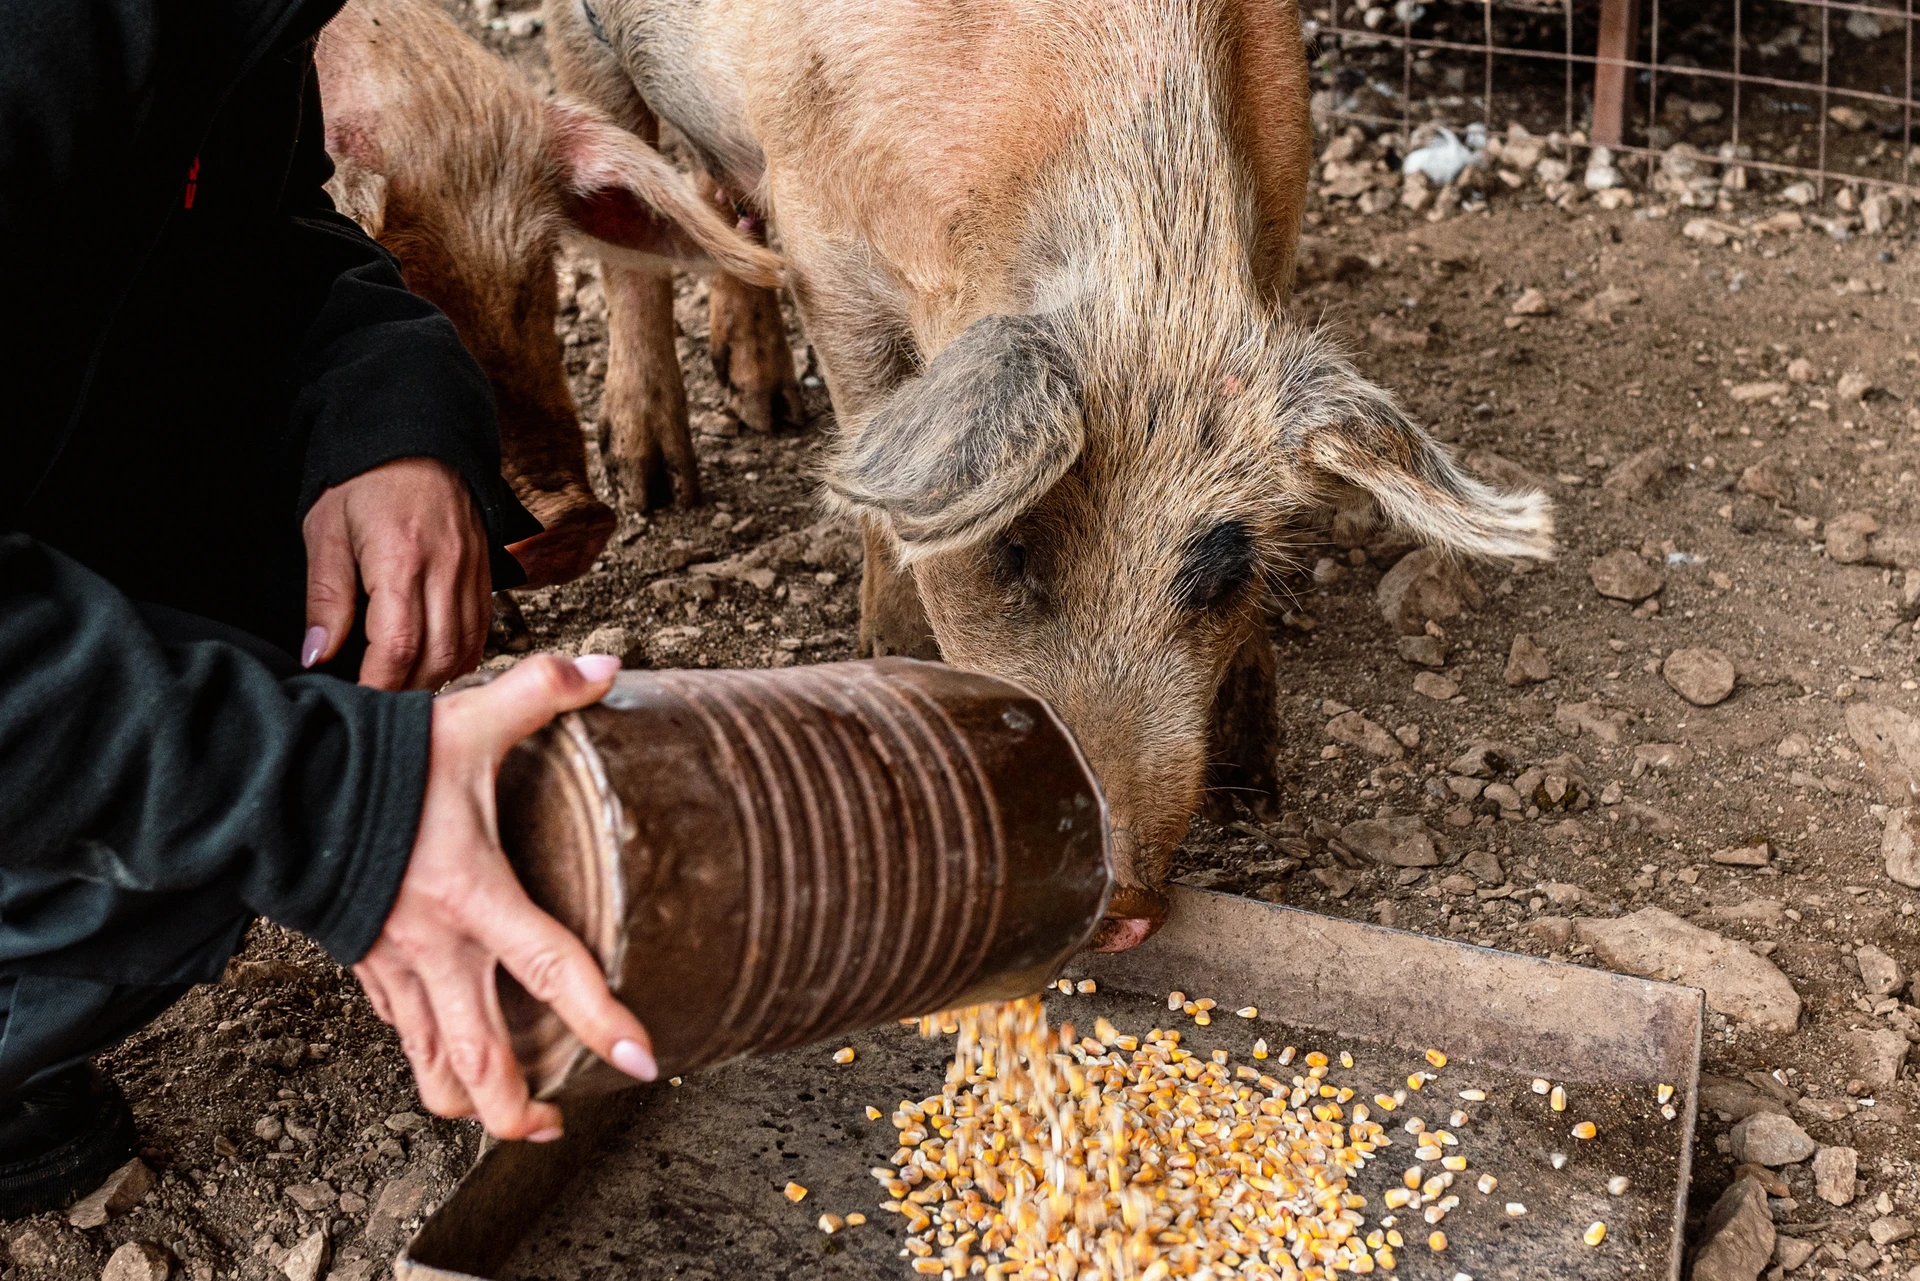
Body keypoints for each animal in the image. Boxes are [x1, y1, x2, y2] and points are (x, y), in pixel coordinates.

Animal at [547, 0, 1553, 947]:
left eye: (1221, 574)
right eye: (1015, 553)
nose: (1125, 909)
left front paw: (1253, 790)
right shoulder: (825, 249)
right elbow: (872, 452)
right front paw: (892, 666)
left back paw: (762, 401)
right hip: (589, 46)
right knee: (633, 225)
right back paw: (654, 484)